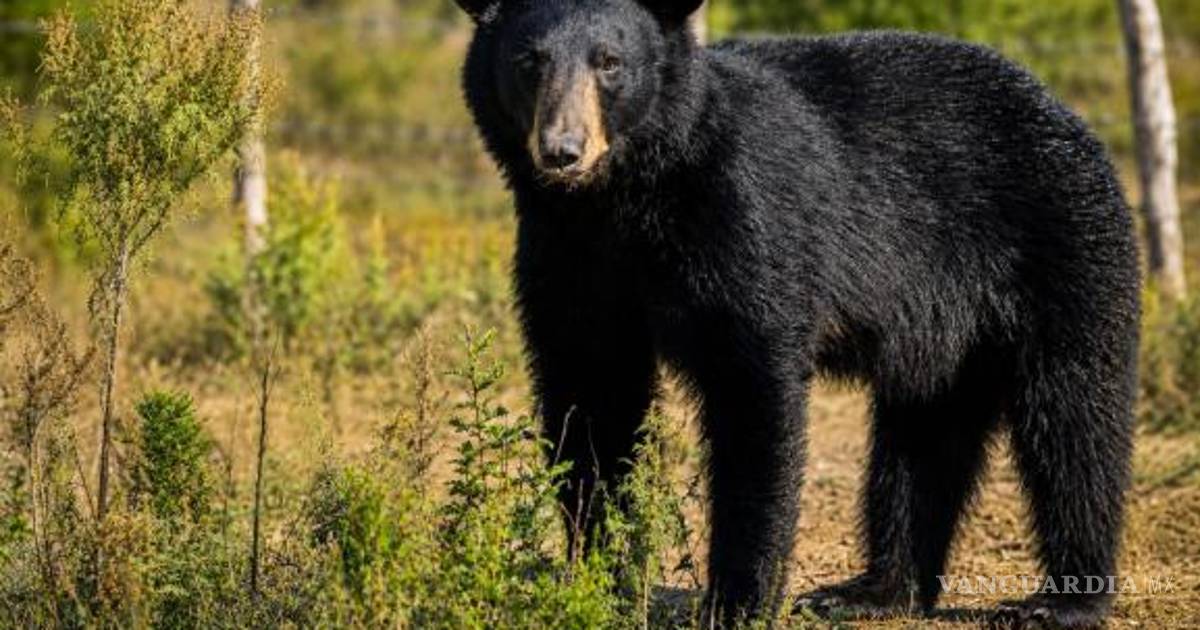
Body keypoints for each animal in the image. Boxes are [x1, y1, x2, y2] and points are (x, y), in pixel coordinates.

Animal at [453, 0, 1141, 627]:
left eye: (610, 63)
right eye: (529, 62)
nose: (562, 151)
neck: (623, 201)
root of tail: (1067, 114)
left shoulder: (742, 221)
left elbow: (752, 395)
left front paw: (737, 601)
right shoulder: (567, 256)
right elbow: (590, 396)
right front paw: (599, 579)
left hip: (1063, 245)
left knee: (1074, 419)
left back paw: (1059, 601)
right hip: (944, 336)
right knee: (922, 436)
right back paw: (872, 592)